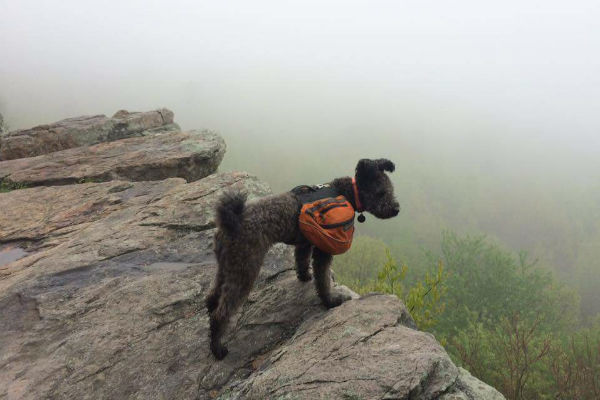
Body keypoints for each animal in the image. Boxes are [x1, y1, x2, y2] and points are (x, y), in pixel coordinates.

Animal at [205, 157, 398, 360]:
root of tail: (229, 221)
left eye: (391, 190)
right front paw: (330, 301)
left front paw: (304, 277)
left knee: (213, 294)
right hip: (245, 270)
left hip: (227, 266)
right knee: (222, 313)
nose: (396, 209)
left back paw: (210, 311)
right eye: (381, 192)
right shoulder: (323, 250)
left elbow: (302, 261)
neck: (345, 193)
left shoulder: (304, 243)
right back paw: (217, 348)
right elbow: (323, 280)